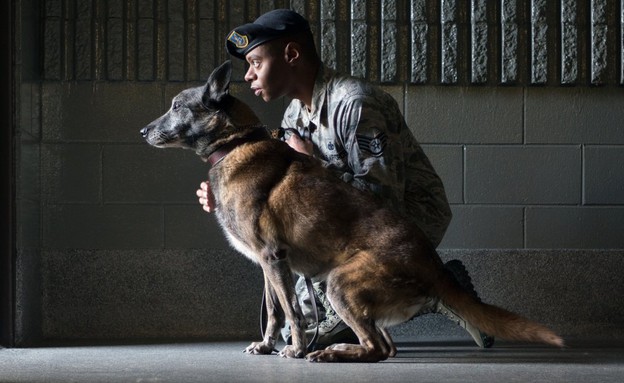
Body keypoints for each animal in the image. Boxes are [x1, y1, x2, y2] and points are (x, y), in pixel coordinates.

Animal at [141, 60, 564, 364]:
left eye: (176, 106)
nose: (143, 131)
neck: (236, 143)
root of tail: (431, 263)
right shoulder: (267, 266)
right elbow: (275, 313)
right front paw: (265, 345)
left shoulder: (273, 258)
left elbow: (292, 314)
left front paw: (295, 349)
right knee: (385, 345)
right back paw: (340, 349)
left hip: (339, 282)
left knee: (377, 348)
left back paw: (327, 353)